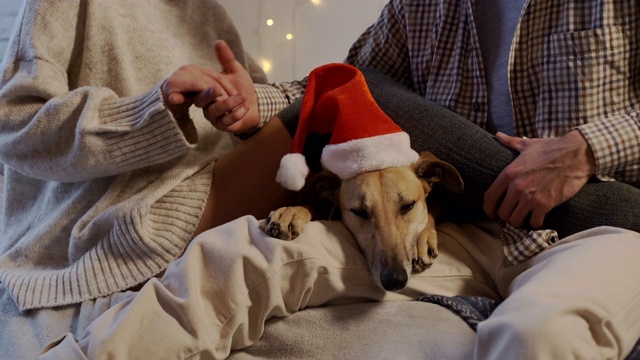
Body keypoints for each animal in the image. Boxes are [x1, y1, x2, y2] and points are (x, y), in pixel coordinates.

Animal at [262, 150, 462, 292]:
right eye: (358, 212)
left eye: (408, 205)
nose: (395, 280)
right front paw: (292, 212)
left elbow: (430, 211)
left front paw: (422, 239)